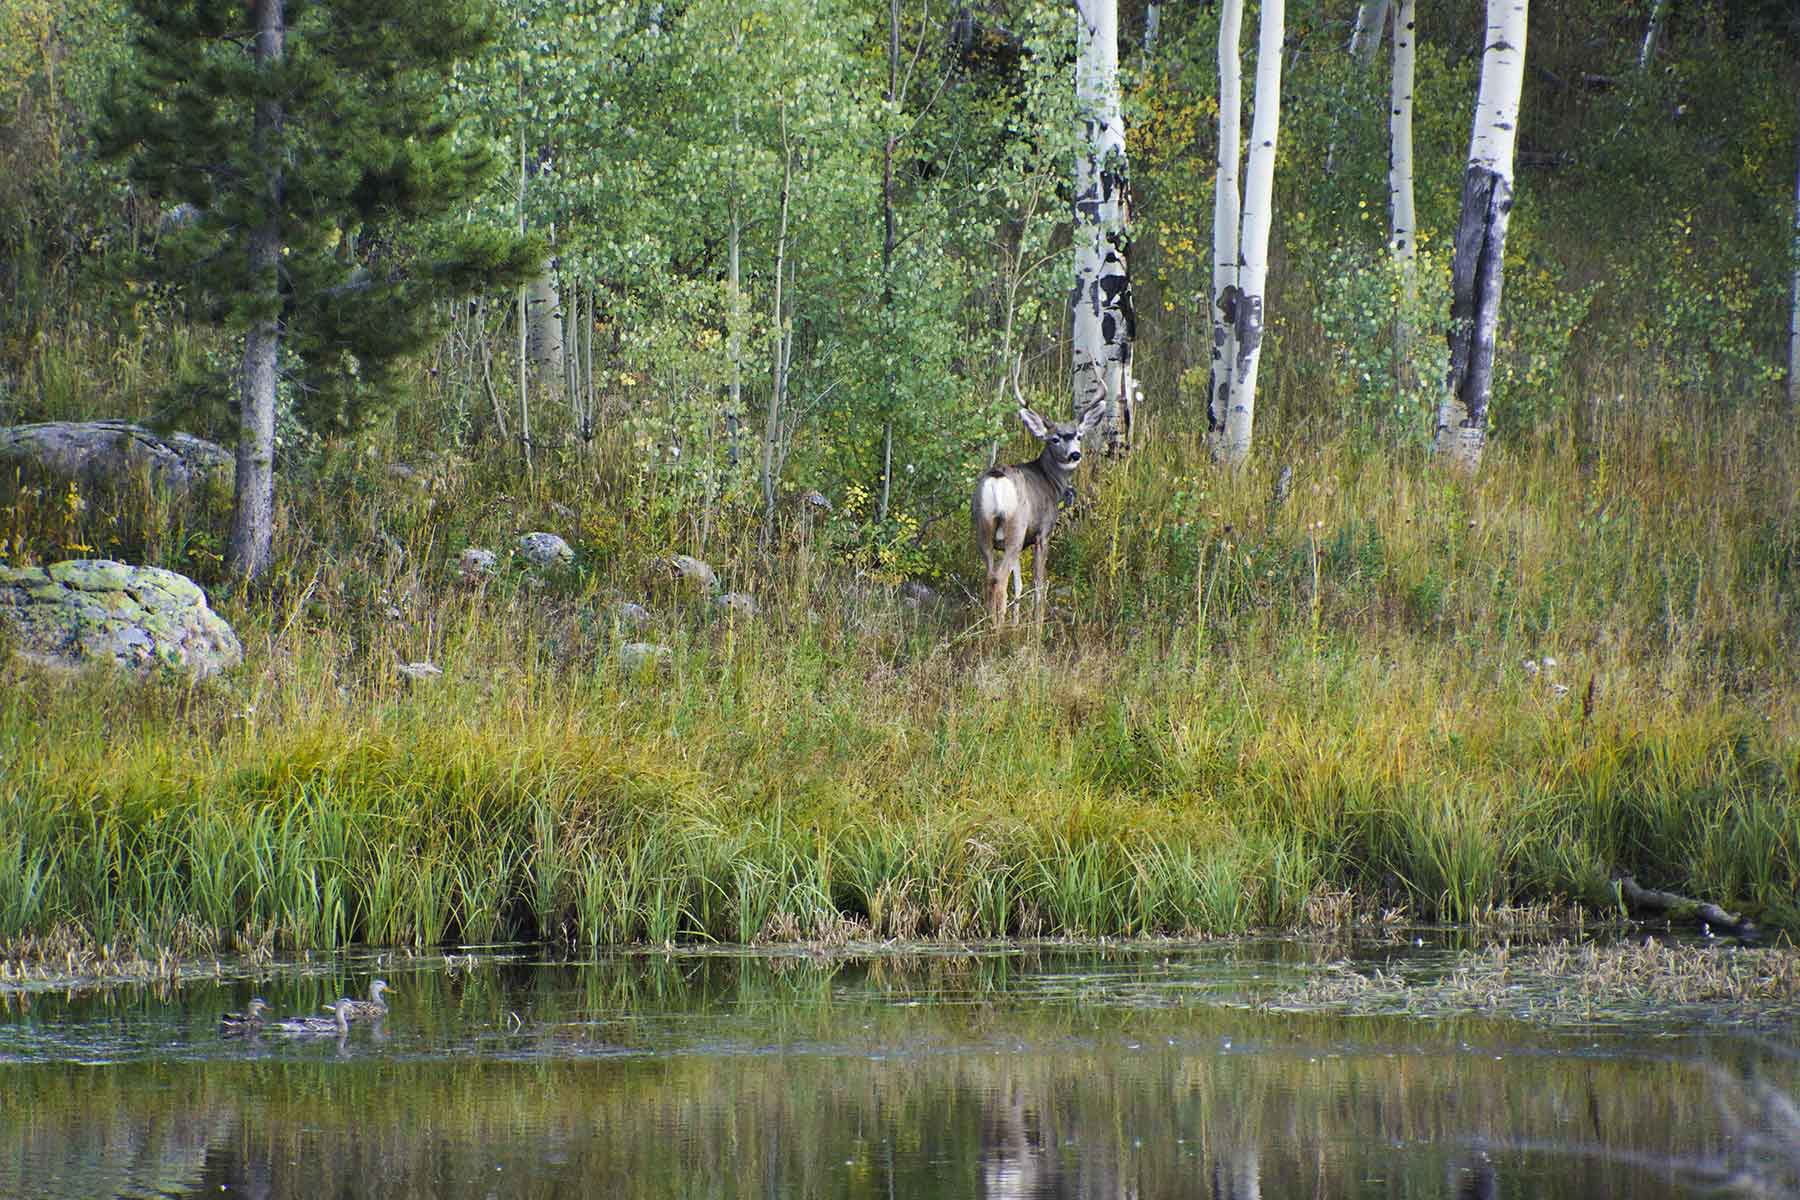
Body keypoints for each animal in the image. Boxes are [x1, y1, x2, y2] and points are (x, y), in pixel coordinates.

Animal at [971, 364, 1108, 626]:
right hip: (1015, 527)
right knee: (999, 578)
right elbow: (1038, 585)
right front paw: (1036, 624)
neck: (1050, 482)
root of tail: (996, 478)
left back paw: (990, 623)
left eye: (1079, 436)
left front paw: (1016, 623)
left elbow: (1018, 585)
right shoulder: (1042, 533)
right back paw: (997, 629)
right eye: (1054, 438)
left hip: (983, 527)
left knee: (990, 575)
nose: (1075, 455)